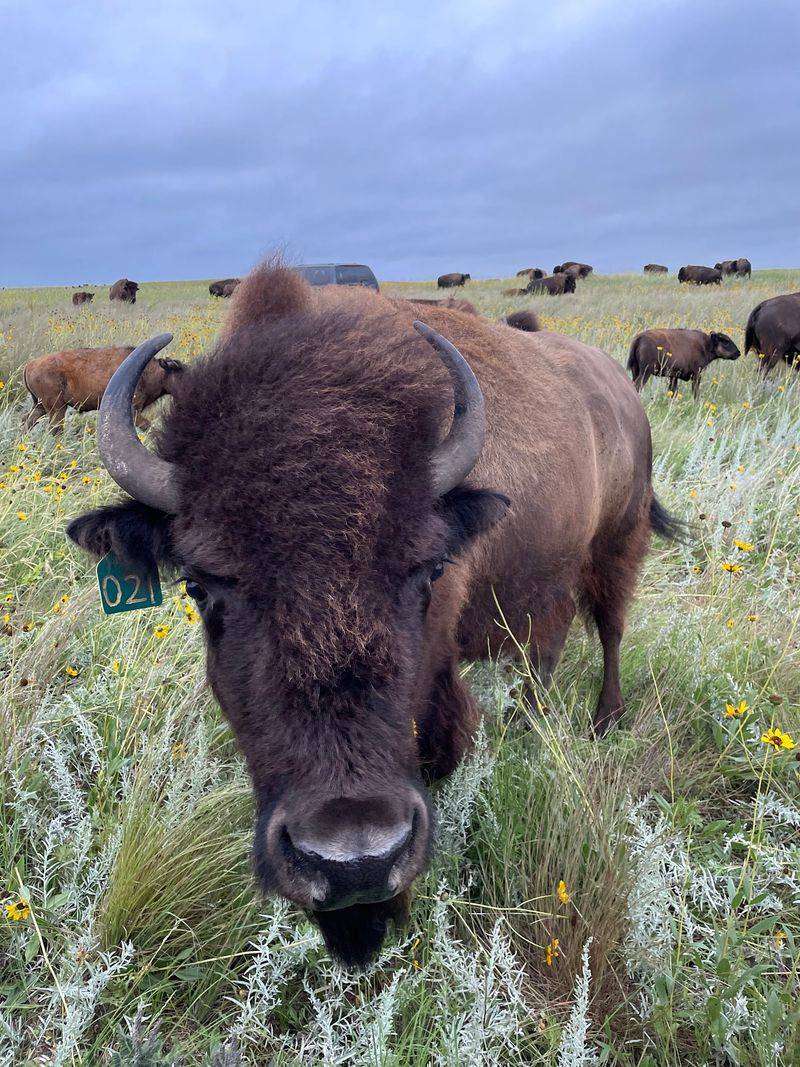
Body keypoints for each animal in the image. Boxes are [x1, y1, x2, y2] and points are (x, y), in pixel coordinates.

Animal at [23, 346, 183, 434]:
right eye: (181, 373)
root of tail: (30, 364)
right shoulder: (132, 411)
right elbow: (149, 427)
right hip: (56, 408)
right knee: (54, 429)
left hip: (42, 406)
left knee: (28, 421)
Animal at [67, 260, 677, 967]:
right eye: (199, 585)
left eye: (429, 570)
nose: (353, 860)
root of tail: (618, 388)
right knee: (544, 658)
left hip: (617, 546)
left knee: (609, 631)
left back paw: (601, 722)